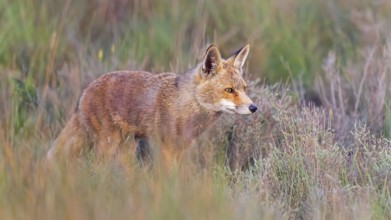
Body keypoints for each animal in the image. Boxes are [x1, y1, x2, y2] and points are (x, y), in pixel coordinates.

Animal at [47, 44, 258, 168]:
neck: (185, 107)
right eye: (229, 90)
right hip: (108, 145)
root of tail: (84, 92)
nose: (254, 108)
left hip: (127, 148)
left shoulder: (181, 148)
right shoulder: (167, 148)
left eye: (244, 88)